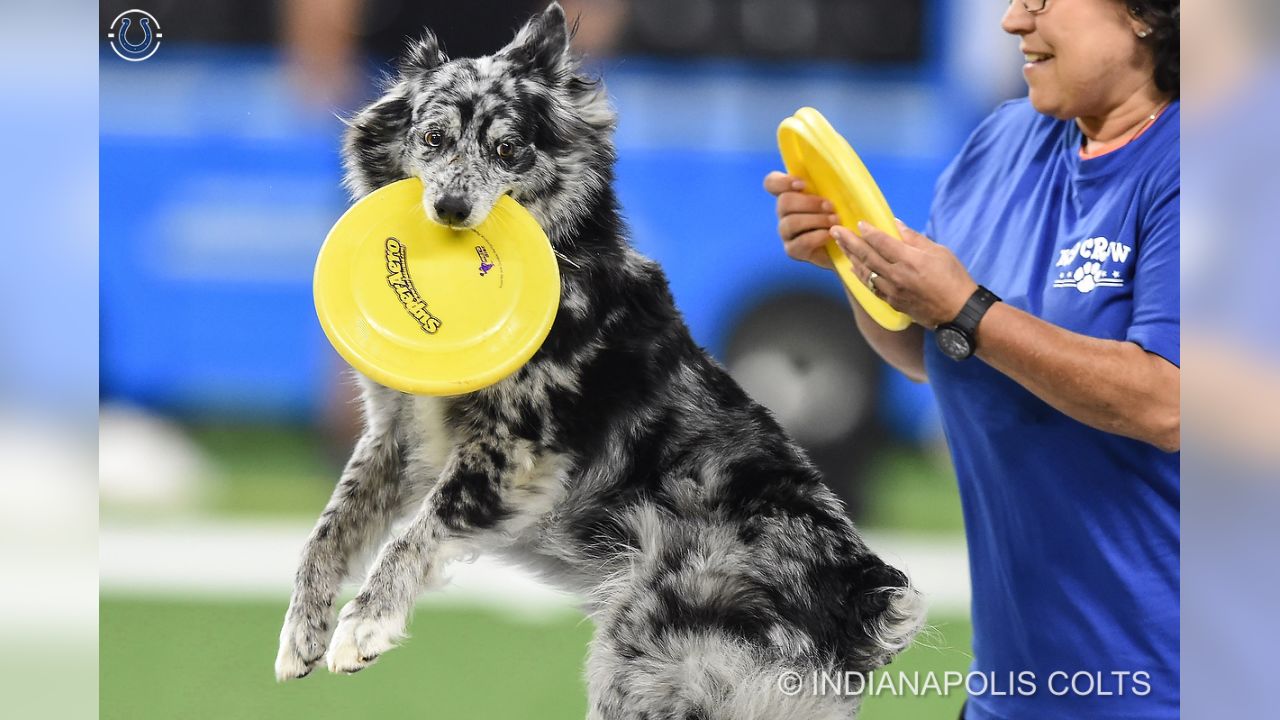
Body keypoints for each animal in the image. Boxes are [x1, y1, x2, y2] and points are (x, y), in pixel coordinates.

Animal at [277, 4, 921, 712]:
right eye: (433, 138)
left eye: (507, 149)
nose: (449, 208)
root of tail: (860, 600)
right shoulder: (396, 436)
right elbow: (329, 531)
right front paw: (303, 630)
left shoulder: (513, 455)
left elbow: (414, 534)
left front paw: (364, 624)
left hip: (646, 652)